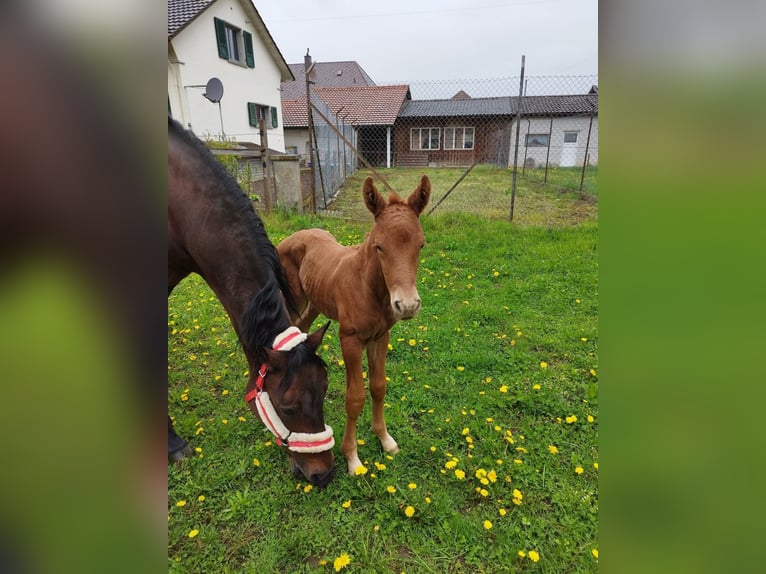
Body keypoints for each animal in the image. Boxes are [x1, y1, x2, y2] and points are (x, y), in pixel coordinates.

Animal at [277, 175, 431, 475]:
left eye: (421, 245)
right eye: (379, 246)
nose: (407, 305)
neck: (368, 287)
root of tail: (294, 235)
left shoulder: (381, 337)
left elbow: (378, 386)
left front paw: (385, 439)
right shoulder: (349, 339)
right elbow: (354, 398)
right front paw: (352, 457)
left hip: (315, 301)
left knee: (303, 325)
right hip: (294, 297)